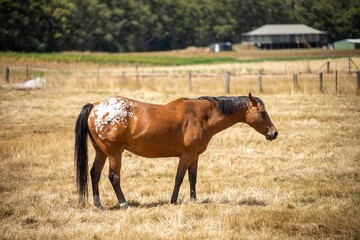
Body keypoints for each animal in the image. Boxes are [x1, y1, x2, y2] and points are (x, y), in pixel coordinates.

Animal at [74, 93, 278, 209]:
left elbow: (192, 178)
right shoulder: (186, 155)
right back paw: (124, 203)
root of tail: (95, 106)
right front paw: (173, 201)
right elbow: (179, 178)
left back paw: (99, 204)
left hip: (101, 152)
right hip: (114, 154)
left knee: (94, 174)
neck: (202, 116)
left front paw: (194, 200)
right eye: (262, 112)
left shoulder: (195, 156)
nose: (274, 133)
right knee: (113, 178)